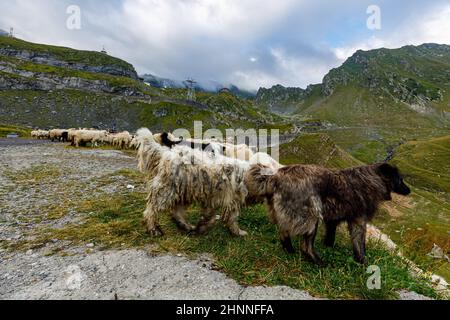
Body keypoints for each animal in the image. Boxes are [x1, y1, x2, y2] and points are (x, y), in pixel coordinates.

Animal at [246, 162, 412, 264]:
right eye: (400, 179)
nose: (409, 190)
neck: (373, 179)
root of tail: (275, 177)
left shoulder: (333, 220)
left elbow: (330, 236)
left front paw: (329, 247)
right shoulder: (358, 220)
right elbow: (360, 244)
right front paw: (362, 262)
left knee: (284, 233)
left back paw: (290, 251)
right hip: (311, 216)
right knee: (305, 245)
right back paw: (318, 262)